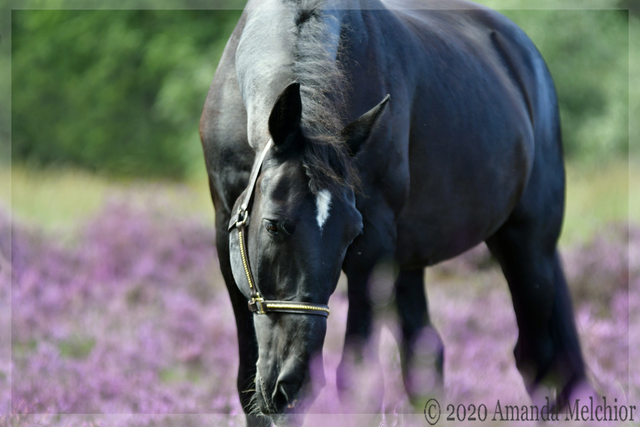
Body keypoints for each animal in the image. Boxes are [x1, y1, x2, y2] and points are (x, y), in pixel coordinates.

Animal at [201, 0, 596, 424]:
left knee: (538, 359)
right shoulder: (226, 240)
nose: (295, 384)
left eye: (351, 234)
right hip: (411, 262)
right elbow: (248, 383)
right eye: (274, 226)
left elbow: (357, 382)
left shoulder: (373, 247)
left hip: (528, 245)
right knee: (425, 360)